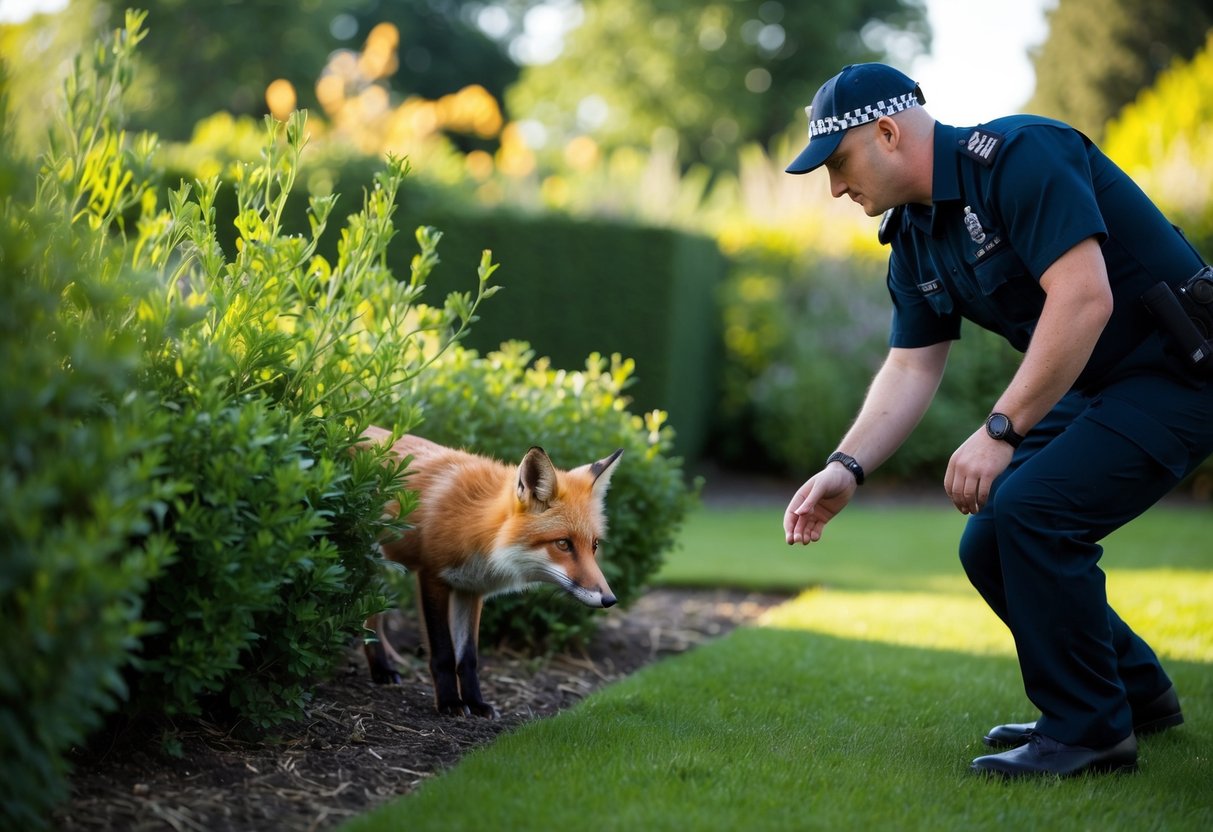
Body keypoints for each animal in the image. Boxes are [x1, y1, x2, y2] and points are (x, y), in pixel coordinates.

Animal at [357, 426, 623, 717]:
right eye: (563, 544)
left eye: (594, 545)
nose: (610, 600)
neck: (478, 525)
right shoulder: (432, 577)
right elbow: (444, 653)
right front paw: (449, 703)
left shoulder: (470, 589)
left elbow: (468, 658)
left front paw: (475, 703)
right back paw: (382, 670)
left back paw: (380, 669)